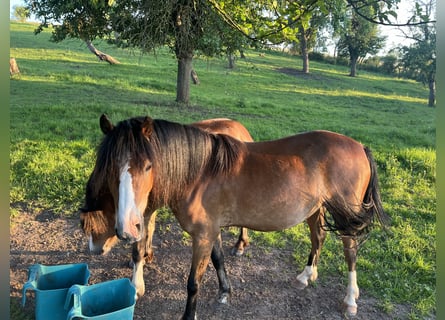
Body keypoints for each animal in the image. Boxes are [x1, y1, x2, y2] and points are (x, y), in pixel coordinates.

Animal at [86, 115, 388, 320]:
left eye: (148, 166)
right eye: (110, 167)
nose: (127, 227)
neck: (199, 174)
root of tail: (360, 147)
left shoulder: (202, 235)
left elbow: (193, 282)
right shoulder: (212, 230)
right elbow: (219, 259)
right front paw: (225, 292)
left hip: (346, 216)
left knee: (350, 251)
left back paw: (350, 299)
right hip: (315, 209)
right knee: (318, 237)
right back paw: (306, 275)